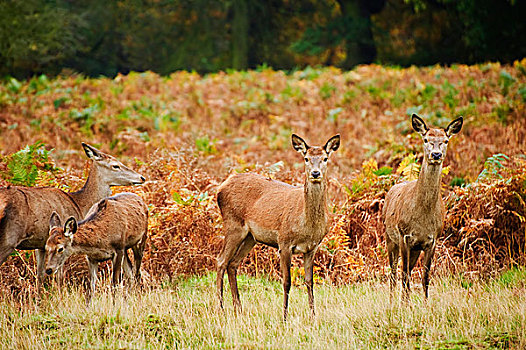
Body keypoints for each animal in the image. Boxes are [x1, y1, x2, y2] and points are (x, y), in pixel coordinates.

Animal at [0, 142, 145, 290]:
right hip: (8, 238)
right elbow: (59, 276)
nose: (141, 177)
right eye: (115, 165)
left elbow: (40, 276)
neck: (79, 205)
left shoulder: (40, 244)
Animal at [218, 133, 342, 320]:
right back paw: (221, 308)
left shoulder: (312, 247)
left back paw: (238, 309)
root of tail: (221, 186)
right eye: (306, 158)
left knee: (232, 264)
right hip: (233, 225)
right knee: (221, 261)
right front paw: (284, 316)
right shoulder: (284, 242)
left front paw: (313, 315)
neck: (307, 226)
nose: (315, 173)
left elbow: (309, 281)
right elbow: (287, 281)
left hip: (250, 237)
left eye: (325, 158)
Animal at [382, 114, 464, 300]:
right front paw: (404, 304)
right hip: (389, 237)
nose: (436, 154)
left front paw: (425, 303)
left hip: (414, 249)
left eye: (445, 140)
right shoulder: (404, 235)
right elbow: (404, 274)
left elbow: (426, 276)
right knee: (394, 272)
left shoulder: (432, 239)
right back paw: (391, 300)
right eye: (426, 139)